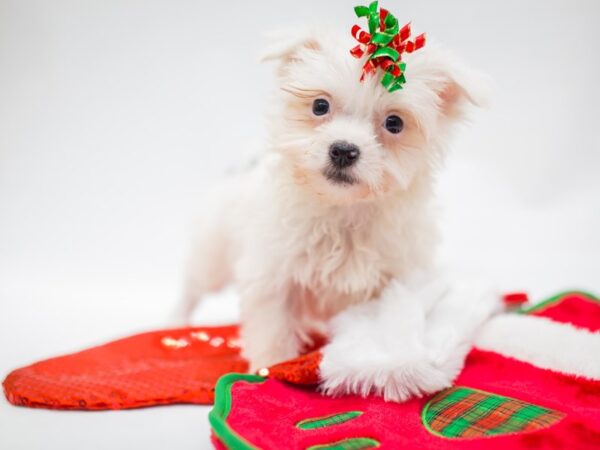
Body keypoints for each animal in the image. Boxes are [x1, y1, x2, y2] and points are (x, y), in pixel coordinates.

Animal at [180, 28, 500, 400]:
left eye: (394, 123)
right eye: (320, 106)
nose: (344, 150)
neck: (343, 210)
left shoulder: (395, 276)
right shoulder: (272, 274)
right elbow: (273, 326)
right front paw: (271, 366)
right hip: (211, 256)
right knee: (191, 289)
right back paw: (175, 321)